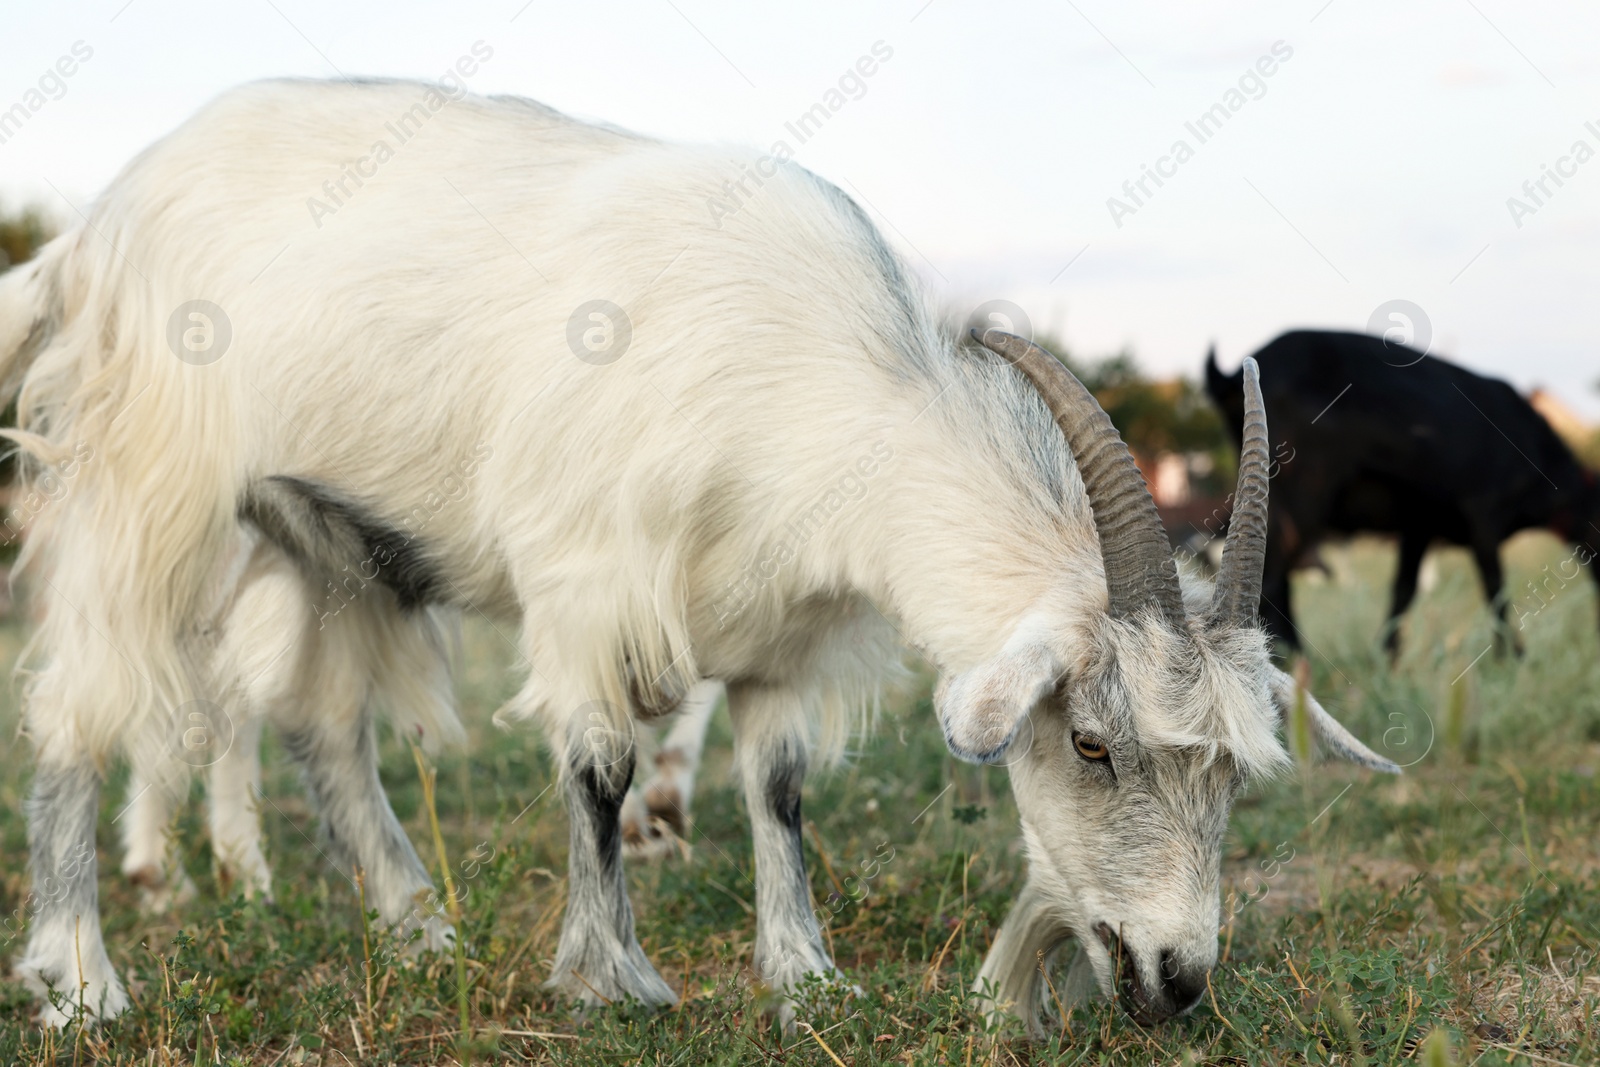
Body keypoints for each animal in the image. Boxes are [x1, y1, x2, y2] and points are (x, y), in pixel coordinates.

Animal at [0, 81, 1388, 1036]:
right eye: (1091, 744)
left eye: (1232, 772)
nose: (1178, 975)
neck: (820, 388)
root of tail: (95, 230)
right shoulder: (587, 580)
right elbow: (601, 766)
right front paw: (610, 975)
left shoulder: (784, 632)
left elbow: (776, 786)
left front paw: (805, 971)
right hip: (153, 485)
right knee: (79, 702)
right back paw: (81, 974)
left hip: (327, 539)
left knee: (321, 724)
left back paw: (418, 928)